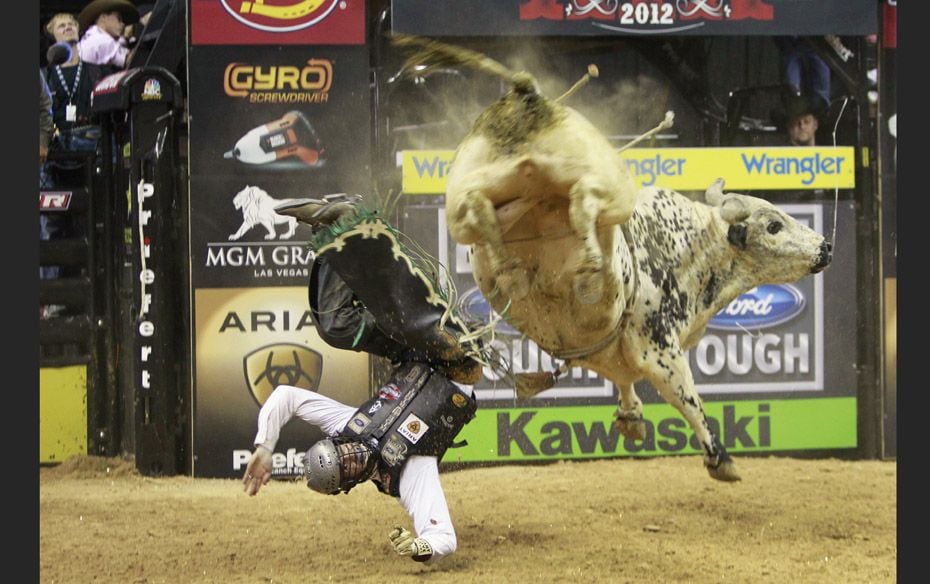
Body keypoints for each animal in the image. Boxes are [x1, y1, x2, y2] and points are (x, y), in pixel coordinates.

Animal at [394, 37, 832, 484]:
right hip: (603, 184)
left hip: (470, 194)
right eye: (774, 225)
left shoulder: (608, 349)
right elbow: (687, 398)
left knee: (491, 206)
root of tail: (528, 97)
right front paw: (719, 457)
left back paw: (514, 265)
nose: (825, 247)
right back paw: (583, 261)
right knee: (584, 198)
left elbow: (621, 375)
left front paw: (631, 418)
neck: (690, 247)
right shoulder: (660, 348)